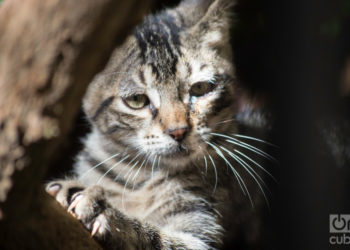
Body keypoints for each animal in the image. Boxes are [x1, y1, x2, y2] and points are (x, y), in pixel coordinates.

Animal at [45, 0, 270, 248]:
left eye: (200, 89)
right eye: (137, 100)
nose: (178, 131)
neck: (138, 176)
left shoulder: (200, 235)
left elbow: (154, 237)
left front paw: (106, 214)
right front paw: (69, 189)